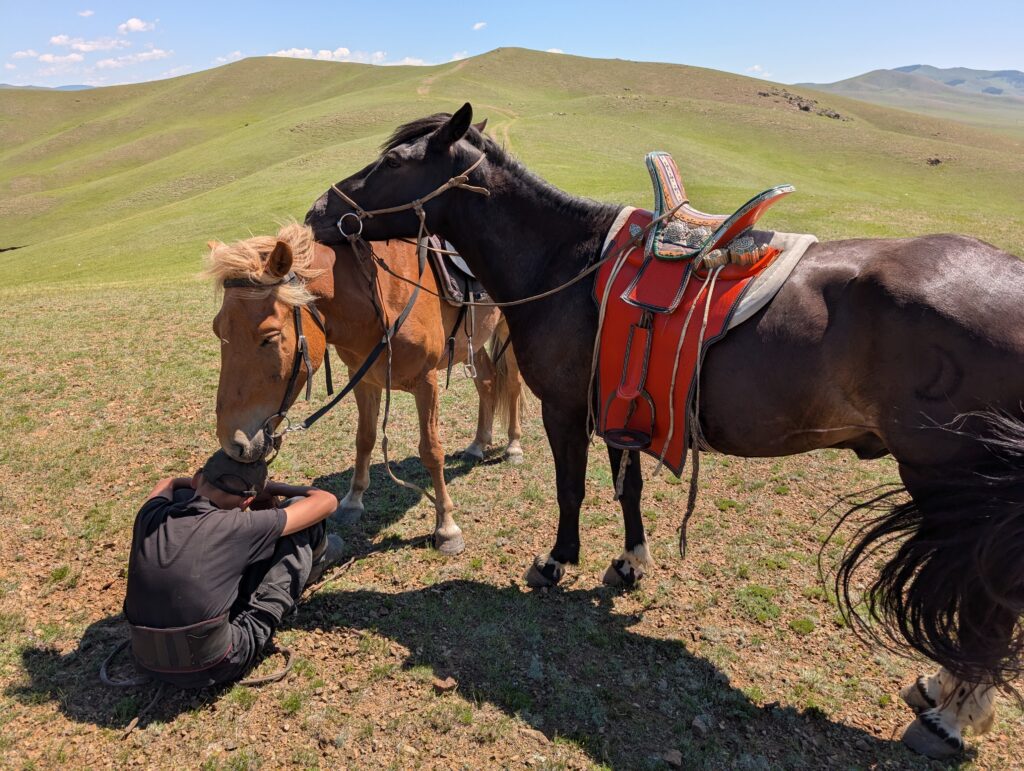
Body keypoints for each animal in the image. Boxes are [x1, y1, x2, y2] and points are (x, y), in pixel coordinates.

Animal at [206, 222, 526, 555]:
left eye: (269, 337)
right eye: (217, 330)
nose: (233, 443)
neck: (378, 298)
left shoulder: (426, 383)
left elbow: (431, 450)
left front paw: (446, 527)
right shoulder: (364, 380)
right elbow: (365, 439)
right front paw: (353, 501)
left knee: (512, 385)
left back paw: (514, 445)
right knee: (487, 381)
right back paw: (478, 443)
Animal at [304, 104, 1024, 758]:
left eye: (396, 162)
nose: (316, 212)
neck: (560, 261)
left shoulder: (564, 409)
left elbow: (571, 490)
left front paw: (556, 562)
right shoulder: (620, 413)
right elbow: (629, 491)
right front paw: (629, 562)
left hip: (950, 482)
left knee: (990, 602)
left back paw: (950, 716)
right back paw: (943, 694)